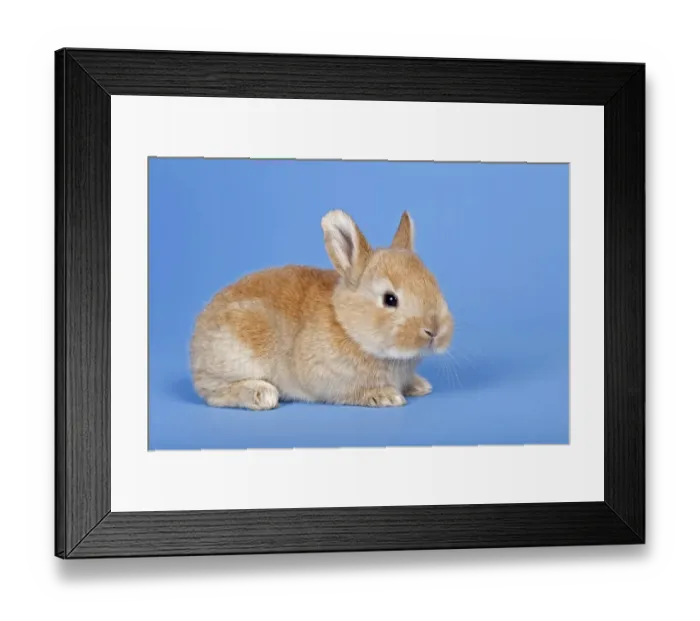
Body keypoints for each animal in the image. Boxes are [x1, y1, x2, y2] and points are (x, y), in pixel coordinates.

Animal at [190, 210, 454, 410]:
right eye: (390, 299)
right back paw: (261, 394)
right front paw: (385, 396)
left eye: (434, 284)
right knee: (214, 393)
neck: (348, 326)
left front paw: (419, 385)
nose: (434, 331)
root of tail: (196, 346)